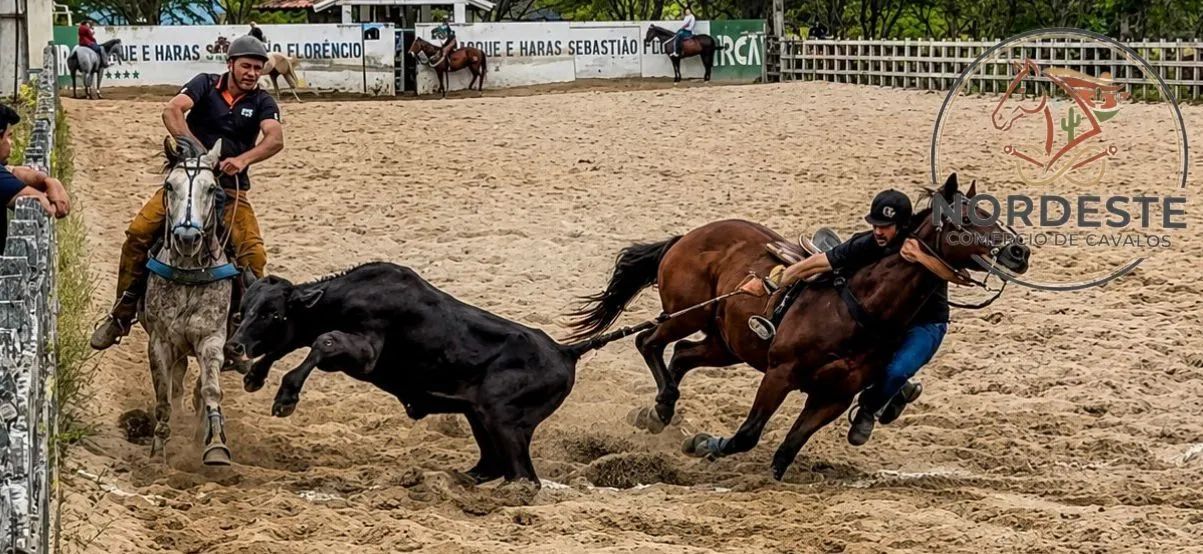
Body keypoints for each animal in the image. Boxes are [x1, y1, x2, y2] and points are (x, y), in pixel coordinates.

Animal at [141, 136, 240, 466]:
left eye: (212, 189)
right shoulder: (160, 342)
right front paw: (158, 454)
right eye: (170, 186)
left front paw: (216, 445)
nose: (186, 239)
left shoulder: (212, 339)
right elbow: (163, 398)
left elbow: (210, 389)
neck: (188, 273)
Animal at [565, 174, 1032, 480]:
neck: (858, 309)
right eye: (966, 220)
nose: (1018, 252)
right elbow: (748, 434)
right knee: (649, 341)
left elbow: (786, 450)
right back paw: (661, 407)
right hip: (686, 315)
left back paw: (658, 412)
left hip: (726, 343)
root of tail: (687, 237)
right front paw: (704, 444)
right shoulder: (780, 374)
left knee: (681, 356)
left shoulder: (833, 398)